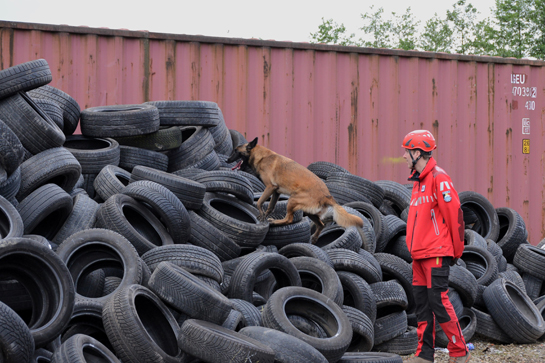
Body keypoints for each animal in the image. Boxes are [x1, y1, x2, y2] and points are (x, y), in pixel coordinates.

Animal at [225, 138, 362, 243]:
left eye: (236, 151)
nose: (226, 160)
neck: (262, 156)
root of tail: (327, 195)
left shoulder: (270, 187)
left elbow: (259, 202)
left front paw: (261, 215)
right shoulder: (276, 192)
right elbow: (270, 207)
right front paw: (264, 216)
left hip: (292, 201)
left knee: (289, 219)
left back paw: (275, 222)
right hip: (309, 211)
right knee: (321, 224)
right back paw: (314, 238)